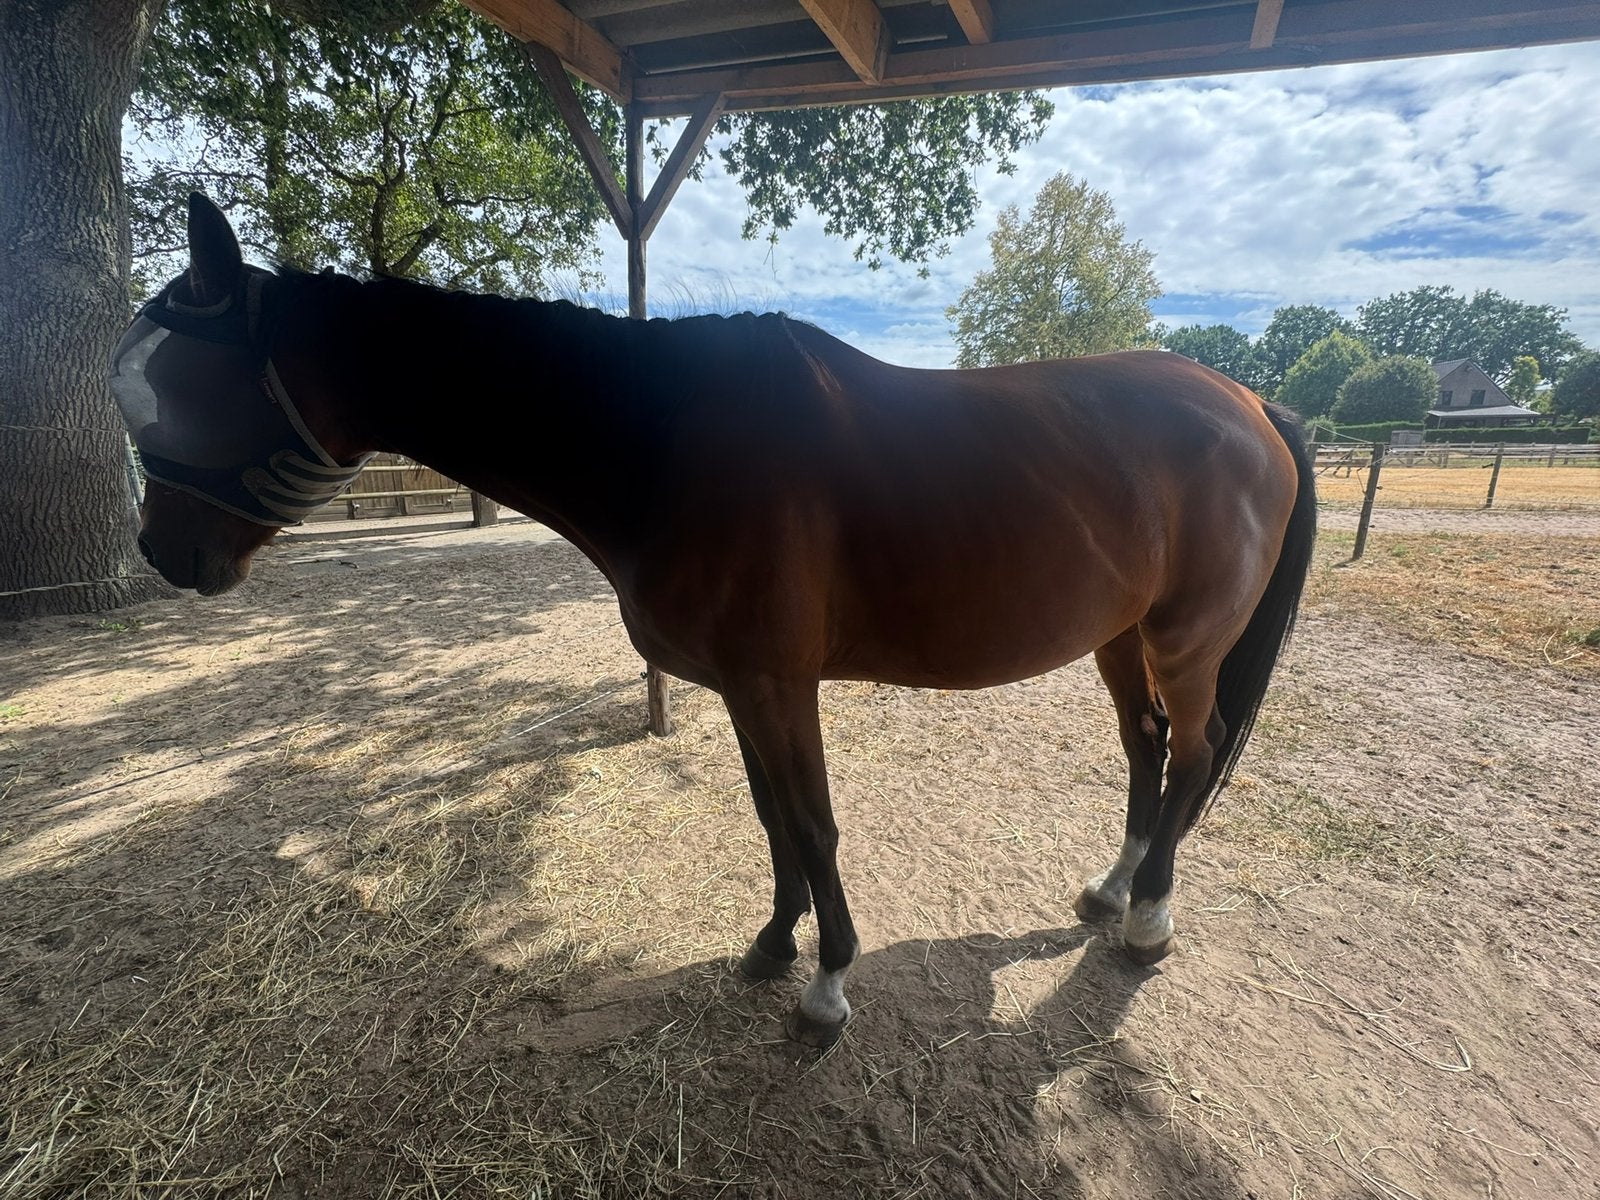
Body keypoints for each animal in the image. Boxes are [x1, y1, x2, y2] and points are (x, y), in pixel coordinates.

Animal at [112, 193, 1315, 1047]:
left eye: (184, 386)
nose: (163, 554)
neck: (666, 441)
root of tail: (1252, 404)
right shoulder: (739, 687)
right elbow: (771, 820)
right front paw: (773, 946)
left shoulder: (781, 684)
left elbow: (816, 825)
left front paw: (827, 987)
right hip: (1120, 637)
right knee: (1147, 750)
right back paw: (1112, 890)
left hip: (1185, 643)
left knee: (1196, 749)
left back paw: (1149, 921)